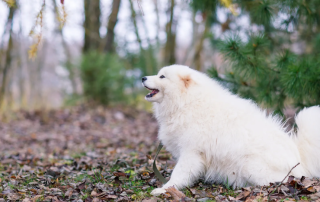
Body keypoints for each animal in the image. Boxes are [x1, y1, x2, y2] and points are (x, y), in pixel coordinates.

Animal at [142, 64, 320, 196]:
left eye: (162, 76)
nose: (143, 78)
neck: (186, 102)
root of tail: (300, 159)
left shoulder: (191, 151)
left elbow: (179, 173)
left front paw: (165, 189)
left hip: (250, 166)